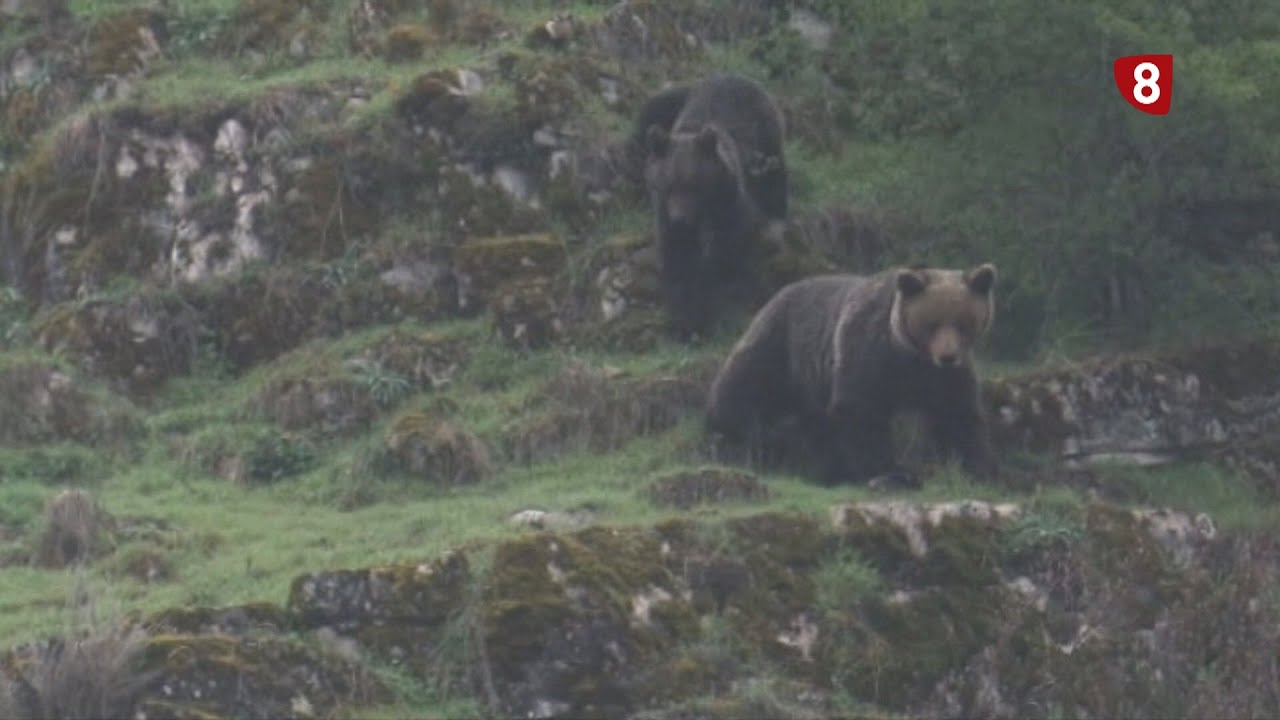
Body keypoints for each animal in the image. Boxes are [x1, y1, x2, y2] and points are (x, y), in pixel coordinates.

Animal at [633, 73, 789, 338]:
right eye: (668, 185)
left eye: (692, 185)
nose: (680, 219)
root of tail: (732, 75)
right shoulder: (664, 213)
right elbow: (677, 255)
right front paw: (684, 321)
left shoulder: (728, 202)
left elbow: (730, 244)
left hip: (766, 137)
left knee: (774, 178)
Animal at [705, 263, 1000, 485]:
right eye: (932, 324)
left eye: (963, 323)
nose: (947, 357)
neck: (909, 356)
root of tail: (779, 292)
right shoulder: (869, 352)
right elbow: (860, 408)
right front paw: (889, 472)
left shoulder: (946, 377)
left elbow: (957, 415)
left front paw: (976, 469)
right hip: (781, 342)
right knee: (745, 384)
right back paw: (730, 427)